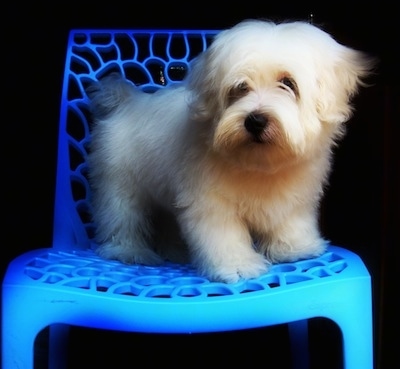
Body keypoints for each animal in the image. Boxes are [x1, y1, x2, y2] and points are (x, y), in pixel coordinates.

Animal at [87, 18, 376, 282]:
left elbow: (290, 220)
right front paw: (237, 266)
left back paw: (174, 252)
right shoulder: (210, 201)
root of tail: (128, 101)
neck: (260, 163)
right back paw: (130, 251)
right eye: (240, 88)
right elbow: (223, 234)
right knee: (122, 216)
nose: (255, 120)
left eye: (288, 83)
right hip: (120, 181)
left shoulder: (295, 195)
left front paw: (295, 248)